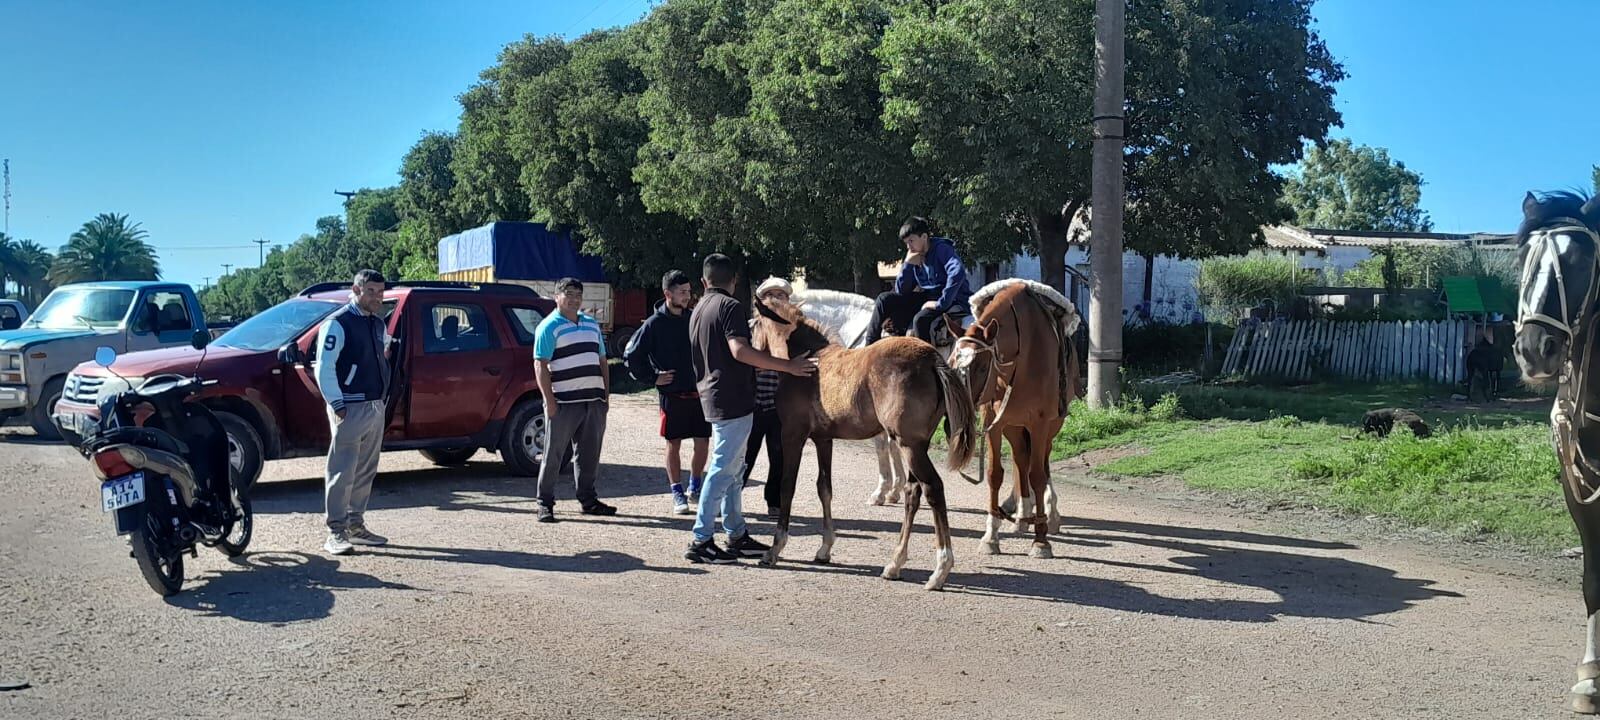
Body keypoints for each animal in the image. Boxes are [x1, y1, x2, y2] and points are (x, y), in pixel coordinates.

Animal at [748, 297, 972, 592]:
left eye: (754, 323)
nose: (751, 356)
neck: (808, 360)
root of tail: (933, 359)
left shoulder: (793, 435)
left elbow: (787, 488)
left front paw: (774, 550)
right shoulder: (824, 440)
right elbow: (824, 488)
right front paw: (825, 549)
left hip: (909, 445)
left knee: (932, 488)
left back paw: (940, 570)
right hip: (917, 445)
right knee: (912, 492)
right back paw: (894, 564)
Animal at [940, 280, 1081, 556]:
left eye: (982, 366)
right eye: (950, 362)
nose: (954, 421)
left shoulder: (1039, 422)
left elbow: (1038, 475)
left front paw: (1041, 540)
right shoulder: (993, 421)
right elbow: (995, 473)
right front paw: (990, 536)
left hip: (1051, 425)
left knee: (1042, 462)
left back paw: (1049, 515)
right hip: (1013, 425)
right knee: (1020, 459)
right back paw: (1022, 517)